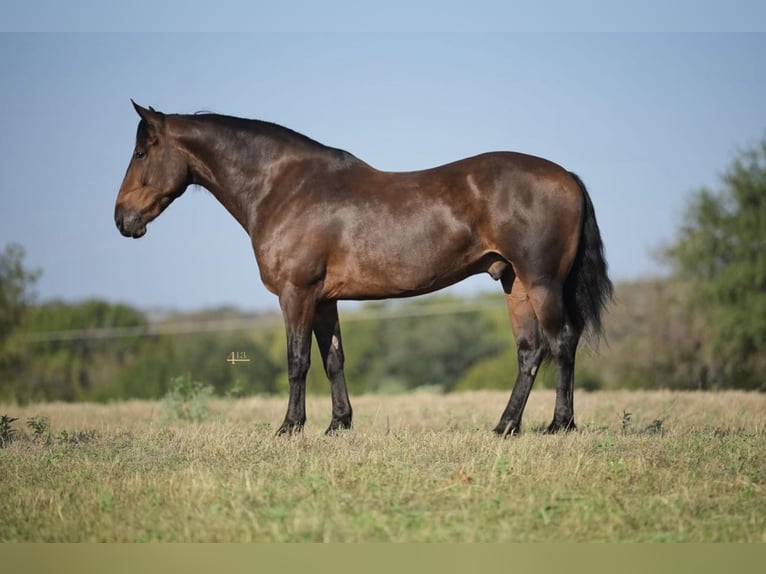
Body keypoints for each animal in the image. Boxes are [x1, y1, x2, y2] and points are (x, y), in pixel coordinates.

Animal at [115, 102, 612, 436]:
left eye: (140, 153)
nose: (123, 219)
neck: (285, 188)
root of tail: (566, 176)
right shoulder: (324, 299)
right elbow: (333, 358)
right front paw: (338, 425)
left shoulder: (296, 293)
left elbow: (297, 361)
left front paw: (289, 427)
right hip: (514, 283)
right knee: (530, 351)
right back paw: (504, 426)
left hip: (542, 282)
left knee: (561, 343)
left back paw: (559, 425)